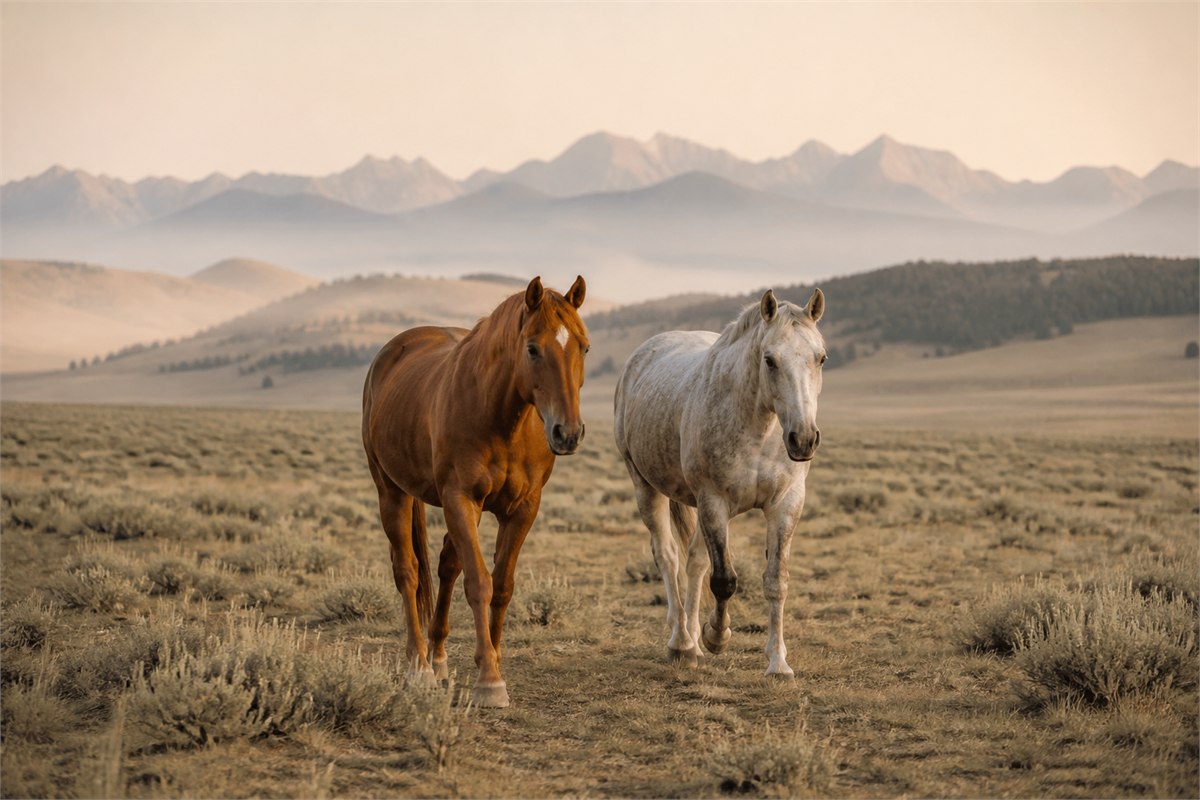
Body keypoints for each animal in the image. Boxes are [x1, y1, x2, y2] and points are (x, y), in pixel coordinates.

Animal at [362, 275, 589, 707]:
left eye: (584, 346)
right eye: (532, 348)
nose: (567, 433)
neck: (501, 418)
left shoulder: (522, 509)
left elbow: (502, 586)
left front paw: (494, 661)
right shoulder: (460, 499)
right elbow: (479, 583)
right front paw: (489, 680)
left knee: (447, 564)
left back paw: (438, 657)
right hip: (391, 491)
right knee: (408, 572)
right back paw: (419, 665)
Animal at [613, 288, 825, 678]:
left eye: (821, 358)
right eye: (769, 360)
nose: (803, 439)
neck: (758, 430)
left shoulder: (786, 503)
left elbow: (776, 581)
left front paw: (778, 662)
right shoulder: (714, 502)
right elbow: (724, 579)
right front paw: (716, 636)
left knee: (694, 562)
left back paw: (693, 640)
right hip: (645, 488)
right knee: (668, 558)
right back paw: (682, 643)